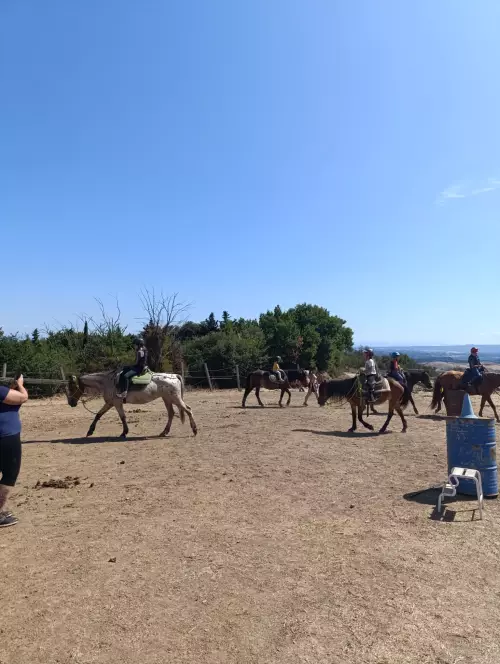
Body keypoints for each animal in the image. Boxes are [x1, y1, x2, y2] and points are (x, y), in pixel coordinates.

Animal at [67, 371, 198, 438]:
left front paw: (124, 432)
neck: (107, 382)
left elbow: (122, 417)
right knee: (171, 413)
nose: (71, 403)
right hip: (167, 399)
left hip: (175, 399)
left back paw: (195, 430)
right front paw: (90, 431)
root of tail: (174, 376)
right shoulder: (110, 403)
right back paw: (164, 432)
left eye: (72, 387)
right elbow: (98, 415)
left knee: (188, 410)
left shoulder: (116, 403)